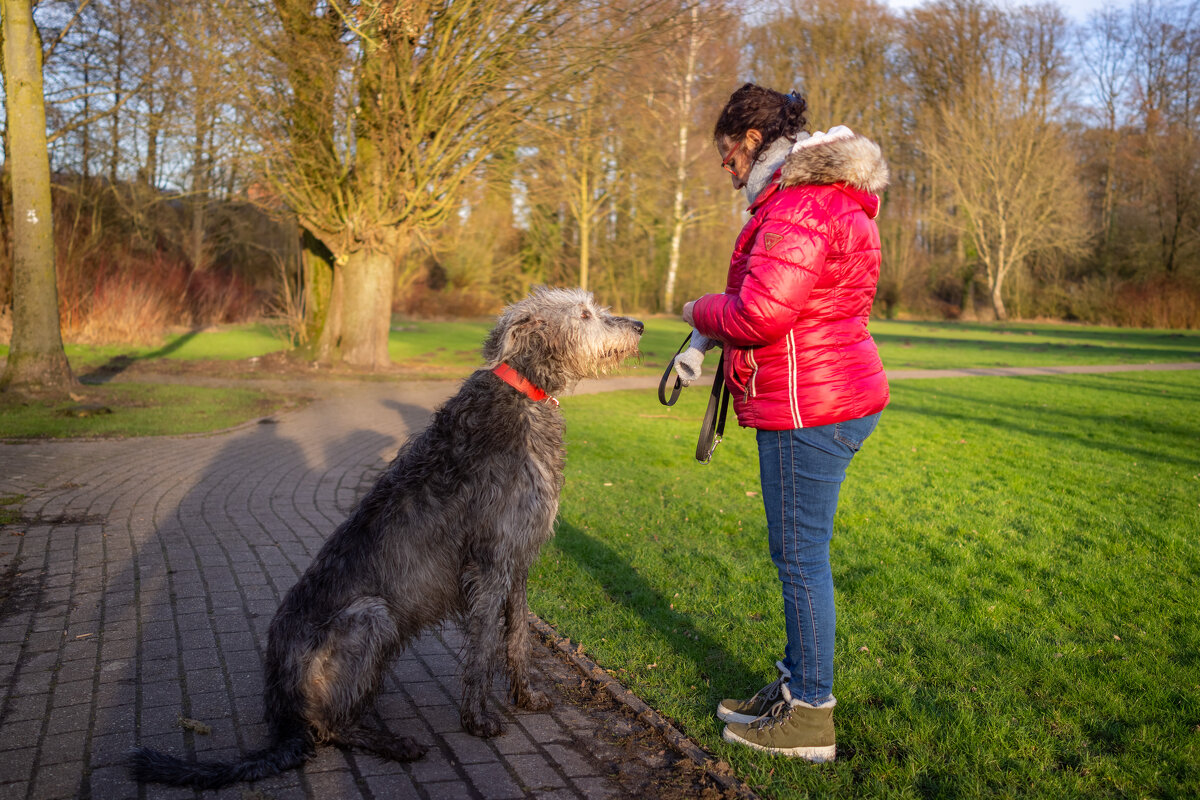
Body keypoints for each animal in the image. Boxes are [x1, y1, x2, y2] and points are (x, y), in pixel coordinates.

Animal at [126, 286, 643, 786]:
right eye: (584, 314)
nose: (638, 325)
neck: (525, 394)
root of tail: (282, 709)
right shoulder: (489, 562)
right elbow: (482, 649)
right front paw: (478, 719)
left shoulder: (517, 559)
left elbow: (516, 638)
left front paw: (527, 696)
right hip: (372, 616)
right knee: (329, 728)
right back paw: (392, 742)